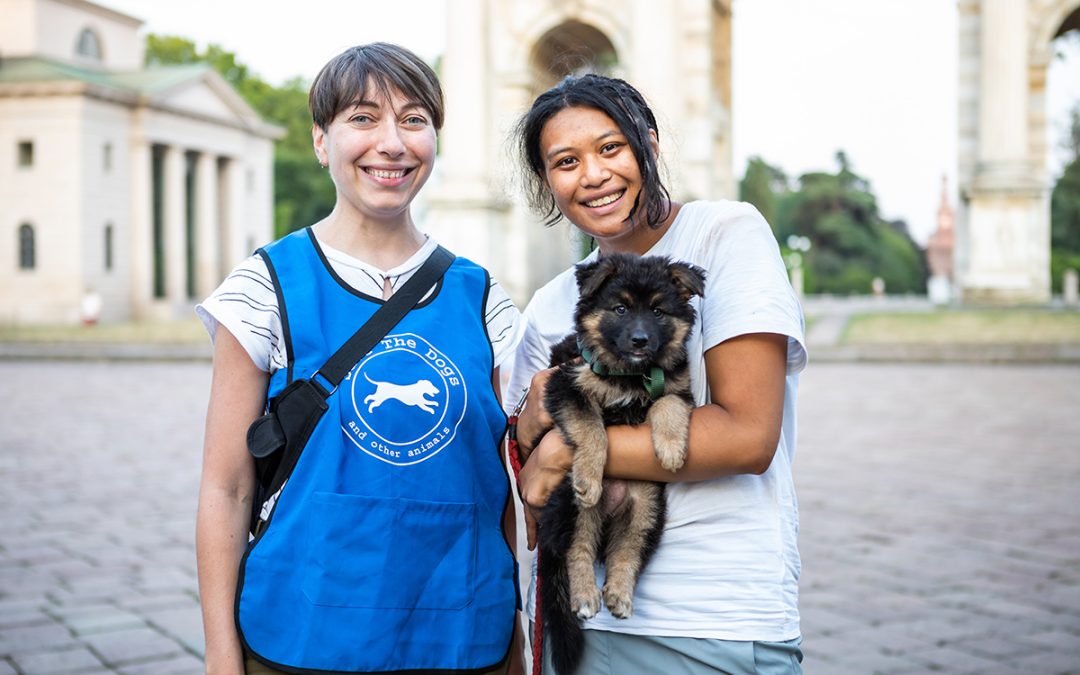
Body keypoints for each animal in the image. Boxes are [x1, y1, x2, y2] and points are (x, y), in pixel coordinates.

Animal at [535, 252, 704, 673]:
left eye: (658, 311)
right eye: (621, 309)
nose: (641, 340)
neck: (630, 374)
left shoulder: (677, 388)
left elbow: (667, 403)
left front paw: (671, 448)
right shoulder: (566, 384)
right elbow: (592, 426)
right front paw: (590, 474)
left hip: (647, 508)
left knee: (628, 550)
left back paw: (618, 594)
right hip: (571, 508)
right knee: (576, 550)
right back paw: (585, 596)